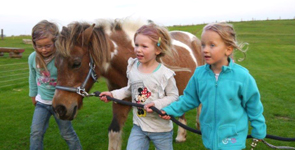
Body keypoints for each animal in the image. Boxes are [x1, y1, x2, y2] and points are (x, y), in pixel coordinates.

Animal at [53, 19, 205, 149]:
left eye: (76, 63)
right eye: (55, 65)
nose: (60, 108)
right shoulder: (120, 102)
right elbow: (114, 131)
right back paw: (182, 135)